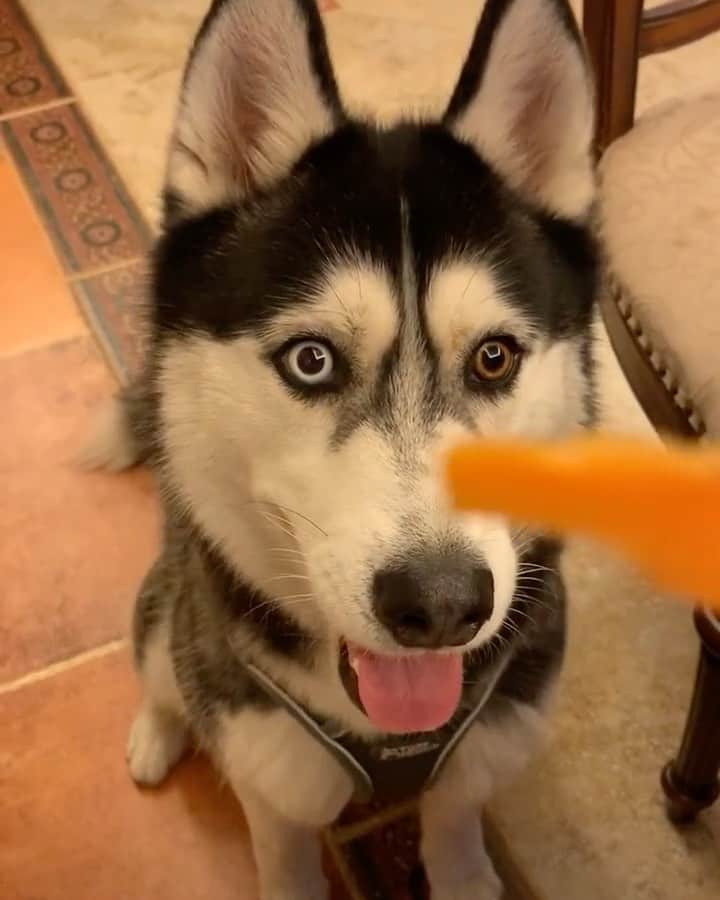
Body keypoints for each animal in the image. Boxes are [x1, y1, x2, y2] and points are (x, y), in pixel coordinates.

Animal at [97, 0, 600, 896]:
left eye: (494, 357)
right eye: (312, 359)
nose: (441, 605)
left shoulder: (481, 755)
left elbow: (457, 833)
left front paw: (464, 872)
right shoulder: (271, 774)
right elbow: (285, 857)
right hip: (172, 614)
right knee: (159, 669)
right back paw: (157, 737)